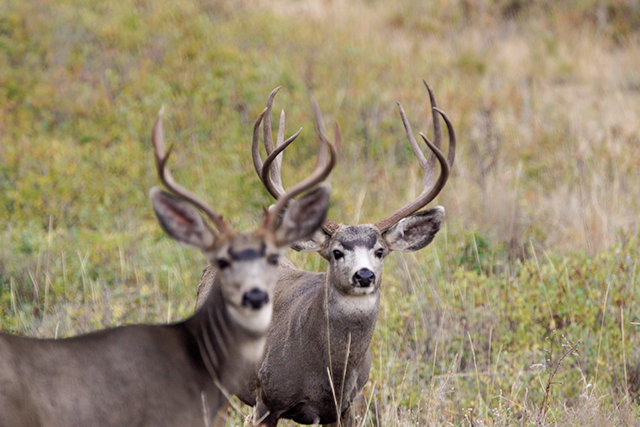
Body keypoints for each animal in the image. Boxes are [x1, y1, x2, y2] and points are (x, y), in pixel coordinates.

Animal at [195, 81, 456, 427]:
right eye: (336, 252)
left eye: (380, 251)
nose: (364, 275)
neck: (327, 370)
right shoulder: (266, 397)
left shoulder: (345, 406)